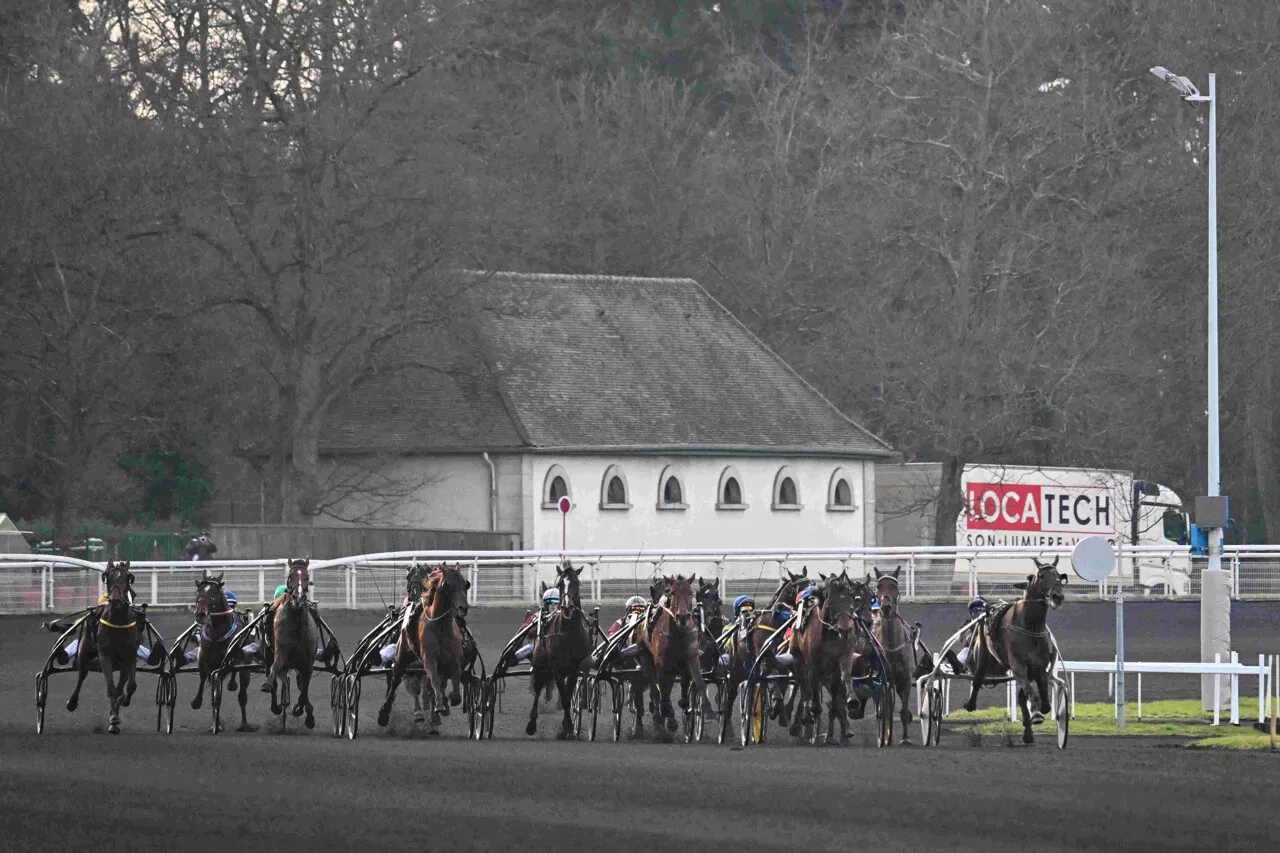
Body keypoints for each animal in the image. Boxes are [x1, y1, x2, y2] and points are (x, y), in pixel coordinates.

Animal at [66, 558, 142, 732]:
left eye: (127, 578)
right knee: (82, 674)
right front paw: (113, 720)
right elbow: (111, 688)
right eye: (109, 577)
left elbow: (130, 685)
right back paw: (72, 702)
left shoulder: (130, 656)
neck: (119, 623)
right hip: (84, 652)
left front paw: (121, 702)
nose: (116, 600)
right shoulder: (105, 655)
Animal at [186, 571, 254, 732]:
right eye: (199, 591)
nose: (201, 614)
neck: (218, 633)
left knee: (241, 693)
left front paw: (243, 724)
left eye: (214, 592)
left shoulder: (234, 664)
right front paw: (214, 723)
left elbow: (235, 695)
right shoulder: (209, 663)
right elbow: (212, 694)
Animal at [264, 555, 320, 727]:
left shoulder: (308, 661)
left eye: (306, 577)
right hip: (268, 654)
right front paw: (267, 684)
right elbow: (276, 667)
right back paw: (276, 705)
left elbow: (304, 688)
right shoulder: (281, 650)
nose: (298, 598)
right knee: (275, 673)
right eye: (290, 577)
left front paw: (303, 711)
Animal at [524, 560, 588, 732]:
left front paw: (568, 725)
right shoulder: (557, 669)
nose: (567, 607)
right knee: (538, 687)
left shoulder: (575, 669)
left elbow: (567, 695)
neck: (569, 634)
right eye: (560, 584)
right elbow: (564, 697)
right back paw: (532, 722)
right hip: (540, 663)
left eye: (577, 583)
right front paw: (568, 726)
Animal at [962, 555, 1064, 742]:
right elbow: (1031, 692)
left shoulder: (1039, 667)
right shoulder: (1018, 665)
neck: (1030, 626)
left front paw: (1037, 714)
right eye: (1041, 576)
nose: (1057, 596)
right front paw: (1036, 714)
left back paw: (1028, 732)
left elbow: (1043, 699)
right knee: (978, 676)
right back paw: (970, 704)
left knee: (1022, 696)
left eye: (1059, 575)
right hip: (982, 652)